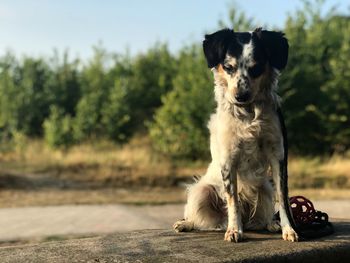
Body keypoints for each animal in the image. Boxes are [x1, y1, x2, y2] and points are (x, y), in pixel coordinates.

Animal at [173, 27, 298, 242]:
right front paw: (233, 230)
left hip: (265, 188)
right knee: (201, 221)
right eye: (228, 67)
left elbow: (283, 199)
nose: (240, 96)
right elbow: (233, 200)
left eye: (256, 68)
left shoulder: (278, 155)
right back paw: (186, 224)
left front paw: (288, 229)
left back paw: (271, 224)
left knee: (261, 217)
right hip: (201, 191)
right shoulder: (228, 159)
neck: (248, 114)